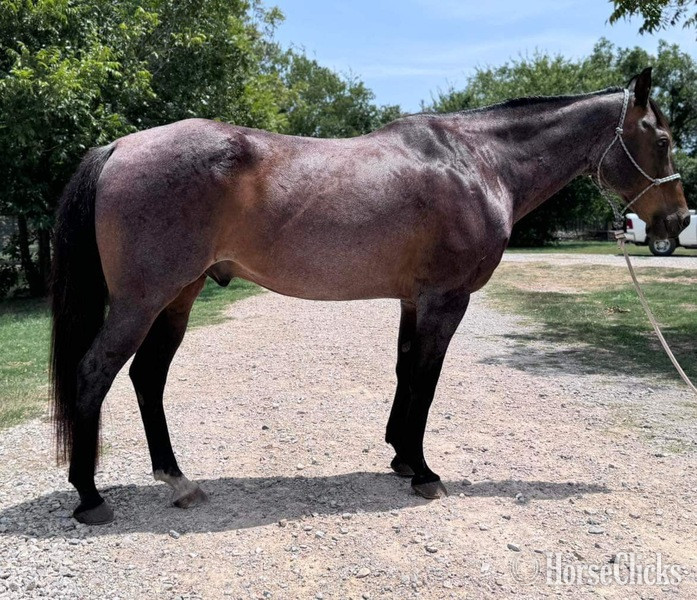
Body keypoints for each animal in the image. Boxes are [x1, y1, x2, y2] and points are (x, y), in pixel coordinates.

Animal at [50, 67, 689, 524]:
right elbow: (427, 380)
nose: (678, 221)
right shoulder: (445, 300)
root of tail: (118, 148)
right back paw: (90, 497)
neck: (479, 163)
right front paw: (424, 472)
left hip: (178, 296)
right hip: (141, 301)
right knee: (95, 373)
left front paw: (401, 456)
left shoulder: (413, 300)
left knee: (147, 376)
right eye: (660, 139)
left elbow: (406, 371)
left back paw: (177, 481)